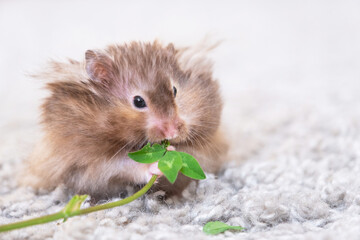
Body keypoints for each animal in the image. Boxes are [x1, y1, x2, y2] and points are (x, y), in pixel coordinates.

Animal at [21, 40, 228, 199]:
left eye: (175, 90)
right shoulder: (87, 163)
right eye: (138, 101)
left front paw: (172, 150)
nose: (172, 132)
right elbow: (124, 166)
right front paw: (160, 162)